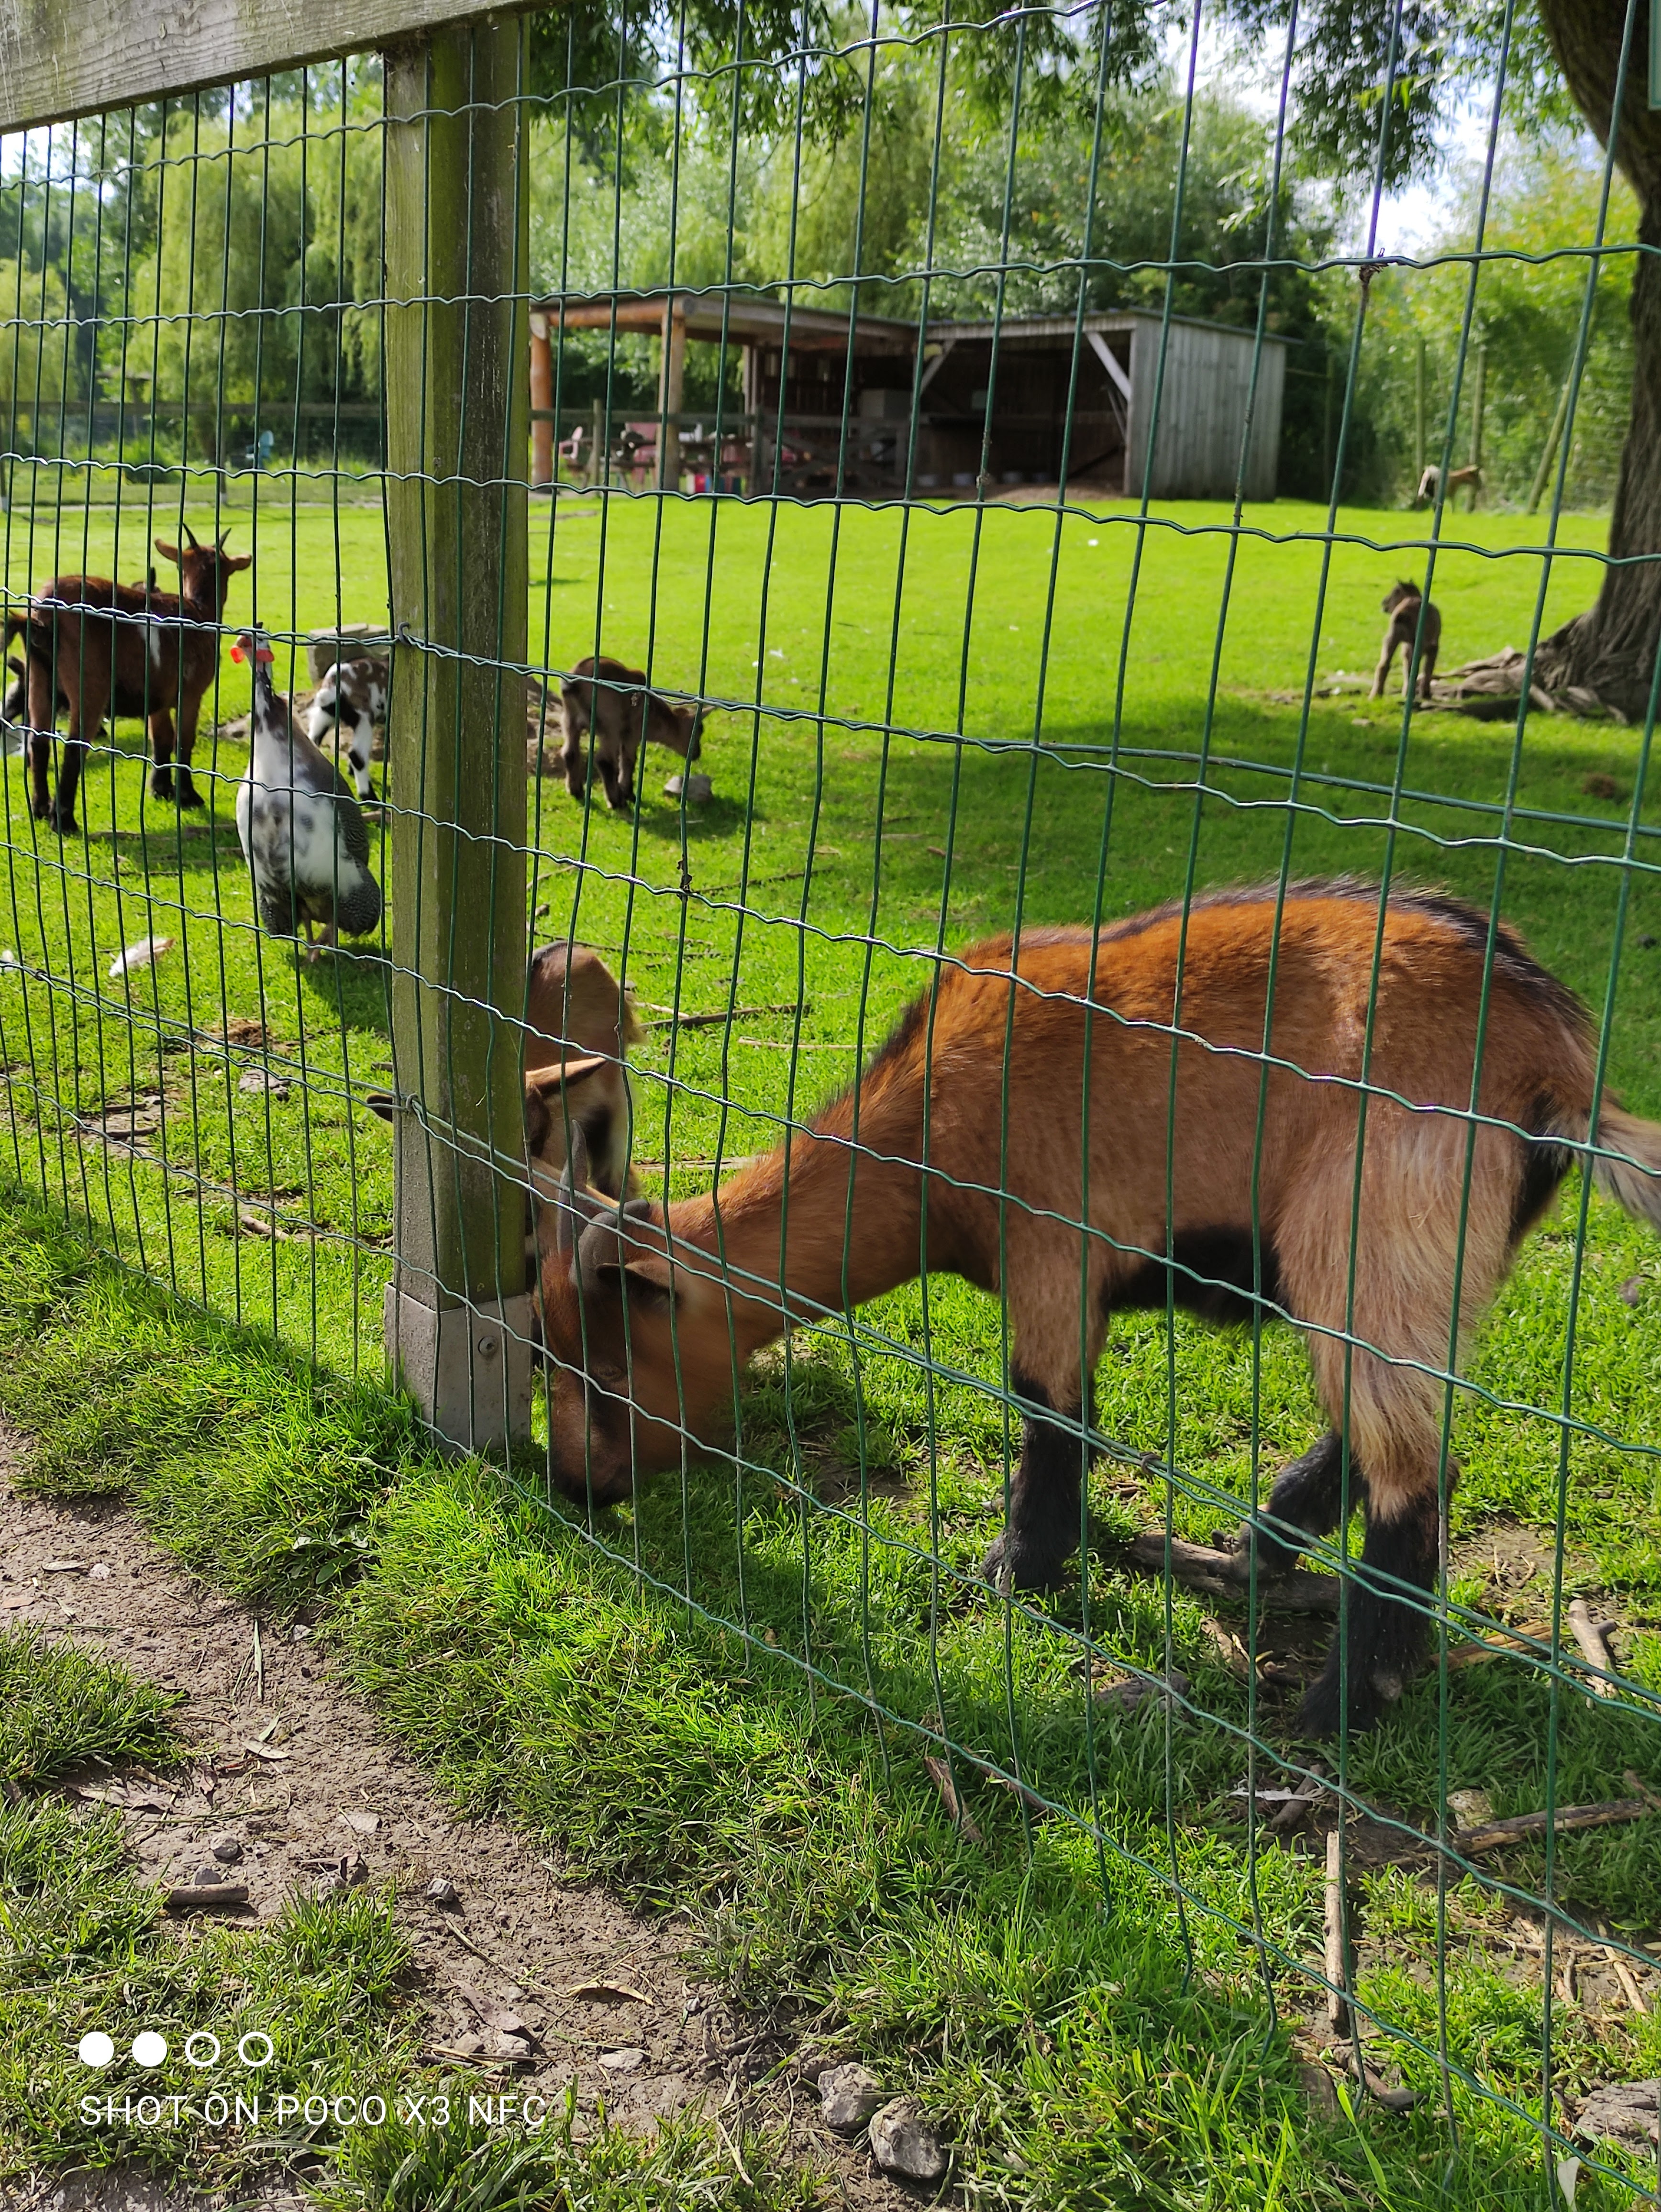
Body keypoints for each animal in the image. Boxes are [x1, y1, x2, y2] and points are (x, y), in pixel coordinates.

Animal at [5, 528, 251, 832]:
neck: (200, 611)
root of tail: (45, 615)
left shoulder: (158, 696)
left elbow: (162, 738)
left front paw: (161, 790)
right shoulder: (191, 691)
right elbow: (184, 740)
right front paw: (188, 796)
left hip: (39, 678)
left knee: (38, 741)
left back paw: (40, 809)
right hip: (89, 684)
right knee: (74, 747)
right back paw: (64, 821)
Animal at [536, 880, 1661, 1737]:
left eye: (610, 1366)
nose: (571, 1486)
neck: (924, 1133)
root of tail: (1555, 1062)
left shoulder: (1052, 1255)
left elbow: (1050, 1415)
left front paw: (1014, 1568)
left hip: (1370, 1230)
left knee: (1415, 1477)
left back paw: (1333, 1706)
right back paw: (1254, 1549)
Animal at [559, 655, 703, 812]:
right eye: (698, 731)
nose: (697, 754)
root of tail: (573, 685)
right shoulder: (632, 732)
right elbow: (629, 760)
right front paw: (628, 794)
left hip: (570, 719)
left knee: (570, 752)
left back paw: (576, 791)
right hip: (610, 723)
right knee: (604, 761)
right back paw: (616, 802)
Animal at [1372, 582, 1441, 705]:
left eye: (1395, 592)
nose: (1384, 602)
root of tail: (1403, 613)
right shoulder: (1433, 647)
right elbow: (1428, 669)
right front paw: (1426, 694)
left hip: (1393, 637)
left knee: (1384, 664)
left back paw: (1376, 695)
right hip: (1417, 643)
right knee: (1414, 667)